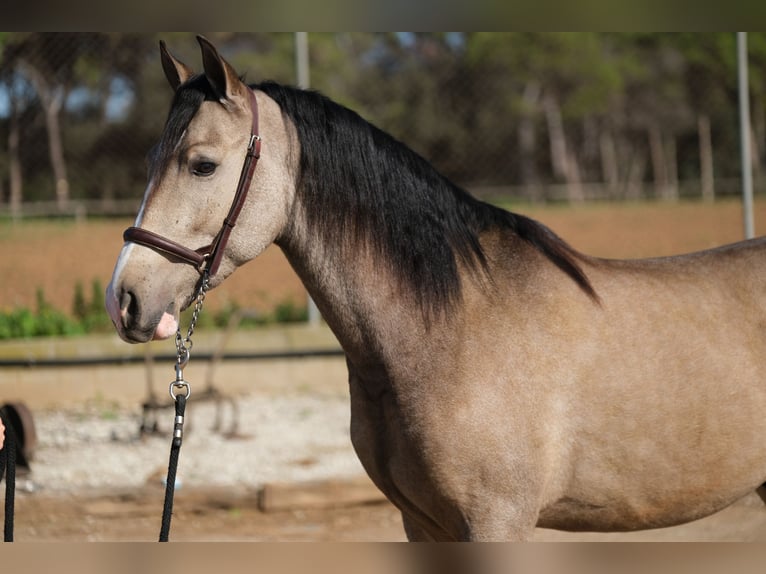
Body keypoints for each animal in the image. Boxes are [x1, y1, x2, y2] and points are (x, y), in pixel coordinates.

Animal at [106, 38, 766, 544]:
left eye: (202, 164)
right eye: (150, 159)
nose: (124, 299)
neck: (450, 333)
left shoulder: (497, 523)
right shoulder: (423, 524)